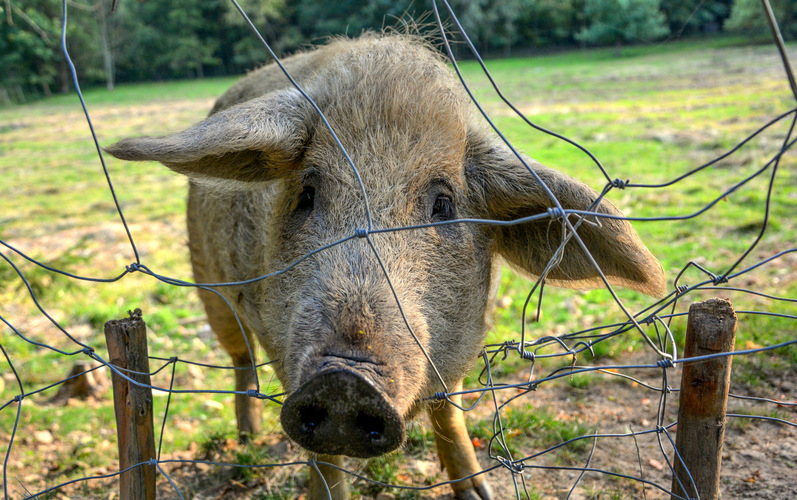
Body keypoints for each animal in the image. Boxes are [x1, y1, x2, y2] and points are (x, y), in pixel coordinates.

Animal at [105, 33, 664, 498]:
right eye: (307, 194)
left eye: (444, 204)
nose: (345, 381)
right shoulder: (284, 346)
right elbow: (323, 456)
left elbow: (449, 414)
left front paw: (479, 493)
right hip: (209, 289)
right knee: (240, 360)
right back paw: (246, 440)